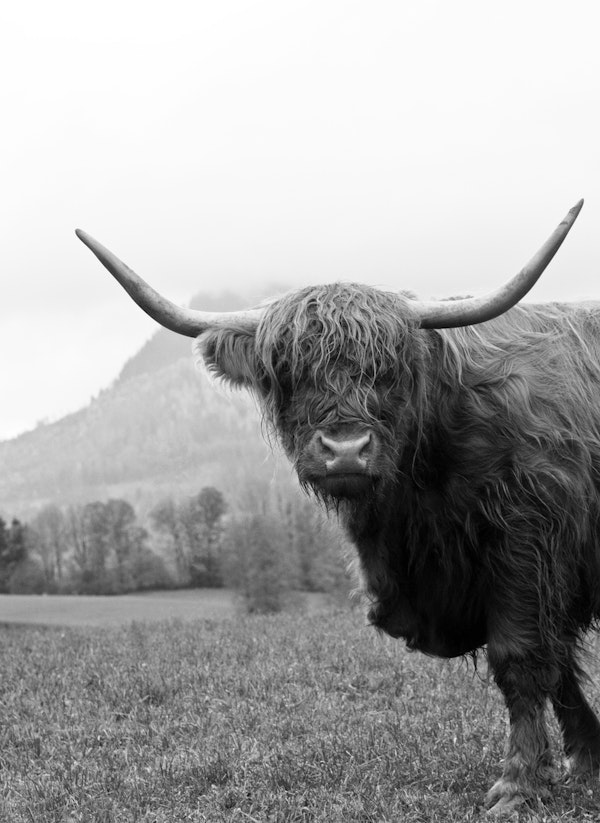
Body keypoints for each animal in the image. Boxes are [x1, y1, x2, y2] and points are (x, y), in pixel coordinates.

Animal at [76, 200, 600, 815]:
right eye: (287, 373)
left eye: (388, 370)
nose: (345, 449)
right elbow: (558, 666)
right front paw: (586, 759)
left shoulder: (527, 546)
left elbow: (521, 658)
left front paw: (519, 784)